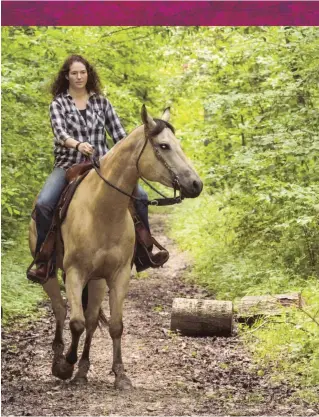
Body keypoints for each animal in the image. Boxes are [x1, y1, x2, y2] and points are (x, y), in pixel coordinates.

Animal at [27, 105, 202, 386]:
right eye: (163, 146)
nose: (196, 184)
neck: (103, 210)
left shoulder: (118, 275)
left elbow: (114, 325)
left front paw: (120, 374)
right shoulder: (74, 273)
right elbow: (75, 322)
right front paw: (65, 365)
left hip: (97, 280)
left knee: (90, 320)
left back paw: (83, 370)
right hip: (50, 275)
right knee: (61, 310)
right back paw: (60, 360)